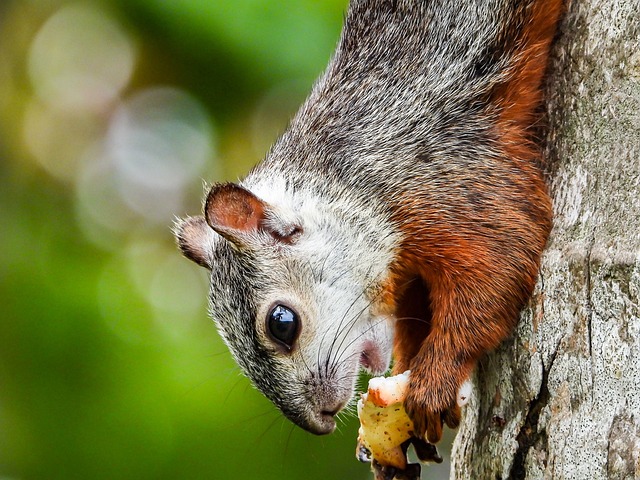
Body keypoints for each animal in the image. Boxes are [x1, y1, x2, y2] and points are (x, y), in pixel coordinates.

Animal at [175, 0, 560, 450]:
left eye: (282, 323)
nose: (318, 422)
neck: (346, 185)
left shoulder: (455, 184)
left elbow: (499, 267)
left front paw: (434, 382)